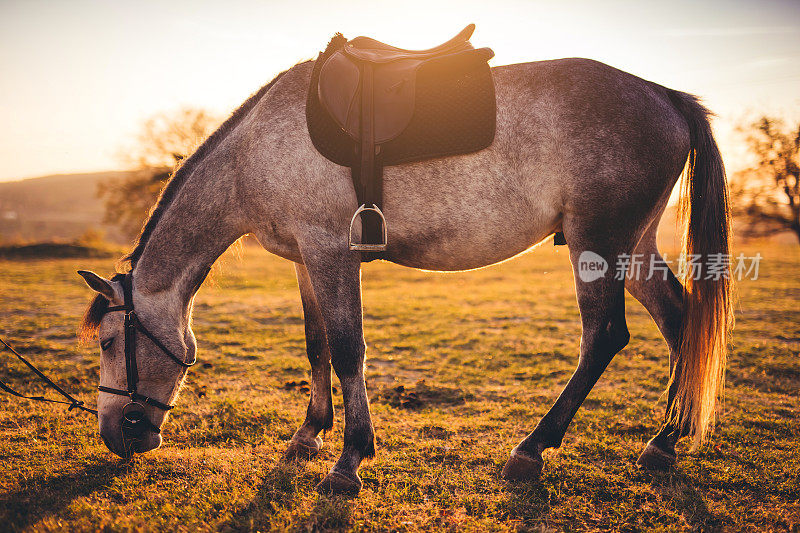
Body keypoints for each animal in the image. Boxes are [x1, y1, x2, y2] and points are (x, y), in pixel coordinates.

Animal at [76, 55, 732, 494]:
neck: (254, 153)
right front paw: (310, 434)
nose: (113, 435)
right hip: (633, 248)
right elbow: (317, 347)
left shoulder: (331, 253)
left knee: (604, 338)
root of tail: (665, 95)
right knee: (680, 321)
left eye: (109, 342)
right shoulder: (307, 262)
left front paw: (349, 460)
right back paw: (665, 440)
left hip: (598, 245)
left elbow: (347, 350)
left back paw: (532, 450)